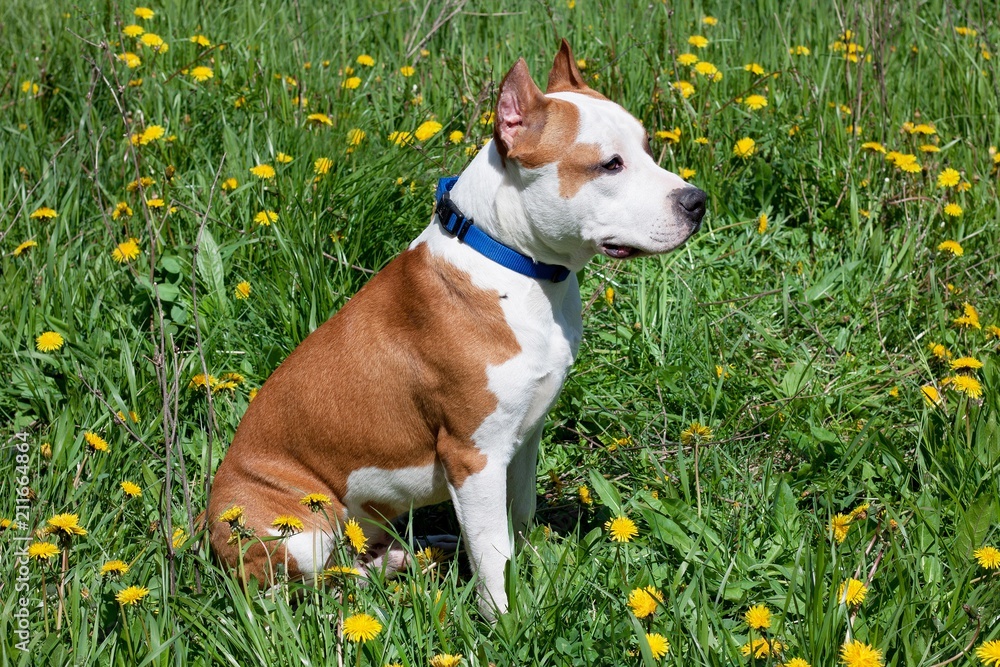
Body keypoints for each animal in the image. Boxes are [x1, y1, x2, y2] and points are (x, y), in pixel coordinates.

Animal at [207, 40, 708, 616]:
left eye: (647, 148)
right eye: (610, 164)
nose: (696, 201)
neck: (514, 264)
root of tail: (206, 523)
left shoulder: (523, 438)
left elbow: (518, 518)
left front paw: (533, 570)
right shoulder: (475, 457)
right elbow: (492, 551)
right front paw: (505, 619)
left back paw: (415, 554)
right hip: (299, 527)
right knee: (305, 588)